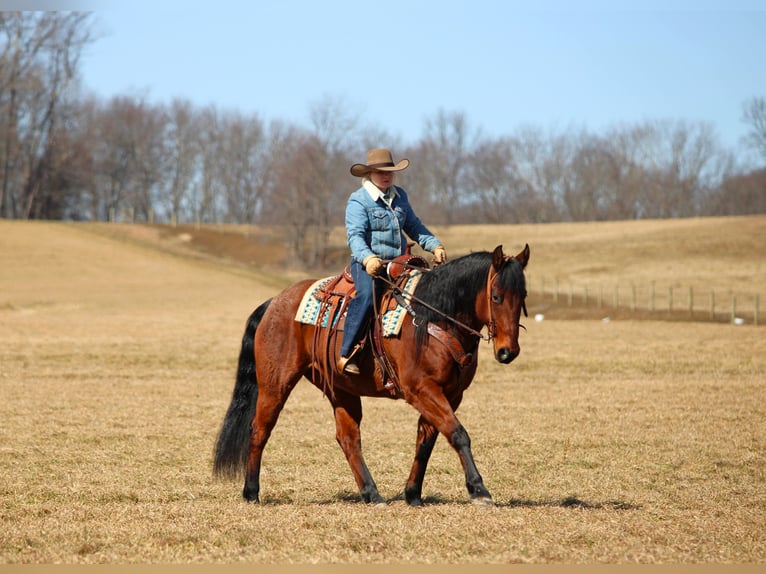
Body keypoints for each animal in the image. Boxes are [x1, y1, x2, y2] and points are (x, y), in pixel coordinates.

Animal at [213, 243, 530, 506]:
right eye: (496, 296)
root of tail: (274, 302)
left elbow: (426, 441)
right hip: (275, 383)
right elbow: (457, 433)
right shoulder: (421, 390)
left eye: (522, 296)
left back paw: (371, 493)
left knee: (348, 439)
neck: (435, 318)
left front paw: (413, 493)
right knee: (260, 429)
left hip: (341, 389)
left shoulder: (450, 394)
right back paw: (251, 492)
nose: (508, 352)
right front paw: (479, 489)